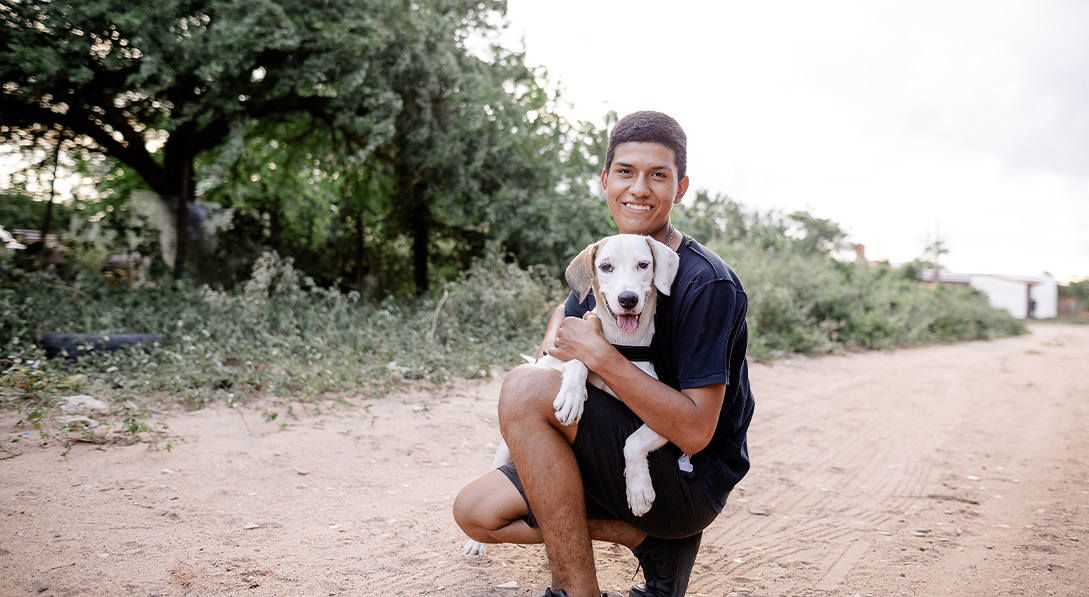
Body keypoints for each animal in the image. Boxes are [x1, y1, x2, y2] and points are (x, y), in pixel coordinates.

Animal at [463, 233, 675, 555]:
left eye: (643, 265)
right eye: (606, 266)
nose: (628, 299)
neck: (620, 347)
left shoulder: (667, 420)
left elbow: (633, 442)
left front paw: (638, 488)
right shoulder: (553, 361)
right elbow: (578, 359)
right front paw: (573, 394)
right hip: (503, 453)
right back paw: (476, 543)